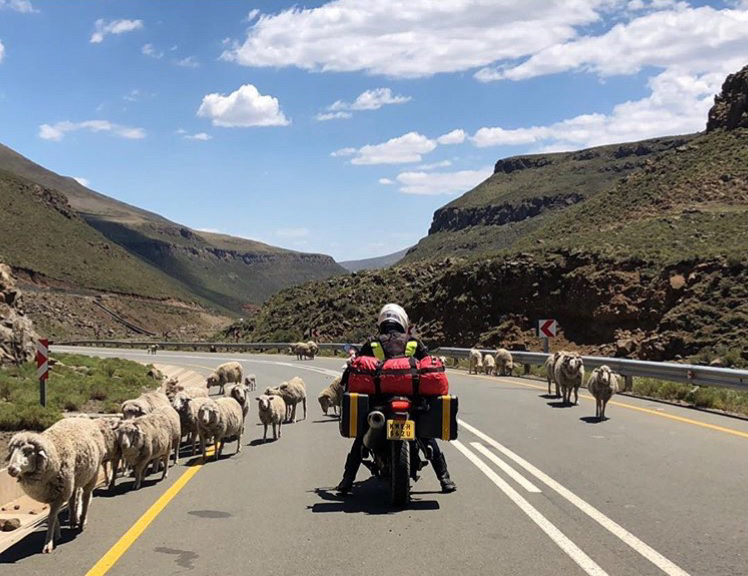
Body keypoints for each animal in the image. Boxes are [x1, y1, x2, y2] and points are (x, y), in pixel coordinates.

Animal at [7, 418, 106, 553]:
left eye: (28, 452)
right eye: (12, 451)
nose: (11, 469)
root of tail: (83, 417)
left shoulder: (60, 494)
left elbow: (52, 516)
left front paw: (48, 543)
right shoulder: (49, 493)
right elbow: (53, 516)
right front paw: (57, 534)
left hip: (92, 475)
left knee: (85, 497)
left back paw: (81, 522)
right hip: (73, 479)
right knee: (73, 497)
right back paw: (73, 520)